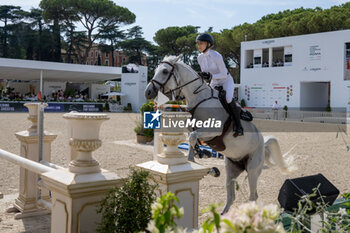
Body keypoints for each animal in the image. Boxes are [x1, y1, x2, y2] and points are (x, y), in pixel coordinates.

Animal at [144, 55, 294, 215]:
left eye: (165, 71)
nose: (148, 92)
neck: (199, 99)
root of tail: (263, 143)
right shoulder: (194, 130)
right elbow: (191, 142)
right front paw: (200, 158)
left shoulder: (213, 131)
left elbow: (193, 138)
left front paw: (200, 156)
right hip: (231, 169)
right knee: (231, 195)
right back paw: (223, 215)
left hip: (253, 169)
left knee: (253, 195)